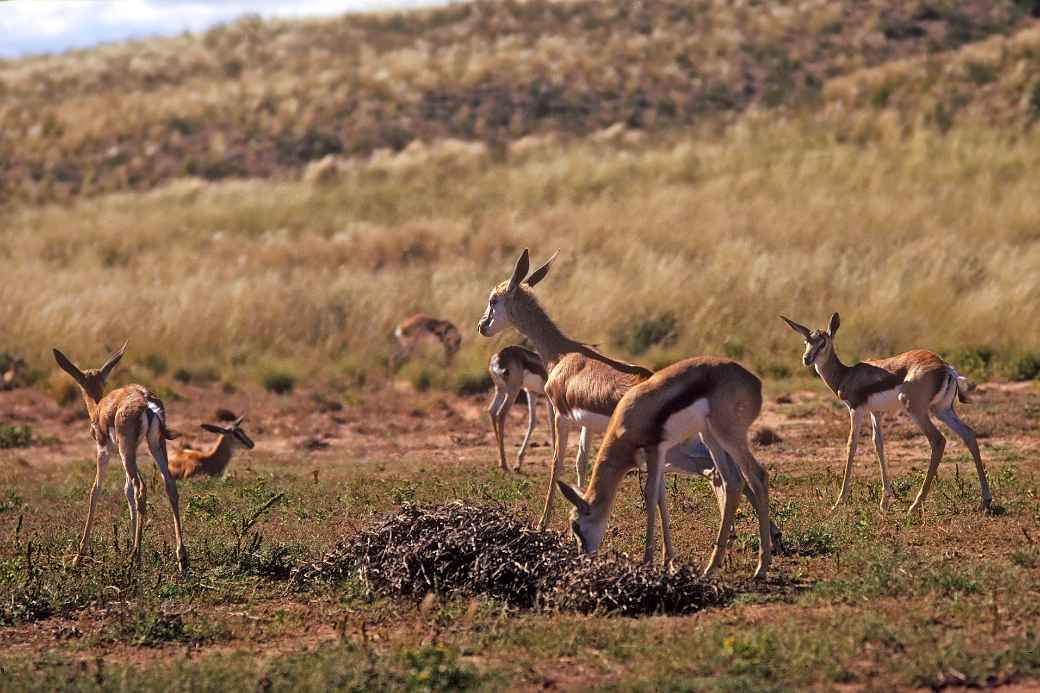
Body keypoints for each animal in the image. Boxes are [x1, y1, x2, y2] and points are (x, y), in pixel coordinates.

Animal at [52, 344, 188, 573]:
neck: (99, 408)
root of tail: (146, 402)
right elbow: (126, 492)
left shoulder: (103, 451)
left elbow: (95, 490)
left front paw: (78, 557)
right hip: (154, 447)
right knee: (168, 485)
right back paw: (181, 559)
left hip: (127, 452)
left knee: (141, 487)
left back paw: (135, 556)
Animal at [487, 344, 555, 473]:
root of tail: (499, 358)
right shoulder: (549, 398)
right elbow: (552, 421)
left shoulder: (531, 392)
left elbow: (533, 421)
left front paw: (518, 464)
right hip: (512, 392)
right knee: (501, 414)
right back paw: (505, 465)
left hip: (500, 389)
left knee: (492, 411)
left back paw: (500, 462)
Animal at [557, 357, 773, 578]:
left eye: (576, 525)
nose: (583, 558)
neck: (628, 420)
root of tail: (755, 382)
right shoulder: (658, 458)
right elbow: (661, 499)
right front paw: (667, 562)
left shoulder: (655, 450)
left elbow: (651, 496)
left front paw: (648, 561)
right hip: (711, 437)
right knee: (733, 482)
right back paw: (711, 567)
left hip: (728, 436)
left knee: (758, 476)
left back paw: (761, 568)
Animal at [780, 313, 993, 514]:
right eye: (806, 341)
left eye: (823, 342)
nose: (806, 359)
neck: (846, 375)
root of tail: (946, 367)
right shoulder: (876, 413)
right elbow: (878, 445)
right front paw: (884, 502)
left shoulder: (855, 410)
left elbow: (851, 445)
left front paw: (839, 503)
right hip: (941, 410)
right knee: (968, 434)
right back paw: (985, 501)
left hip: (916, 409)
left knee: (938, 440)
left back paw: (915, 505)